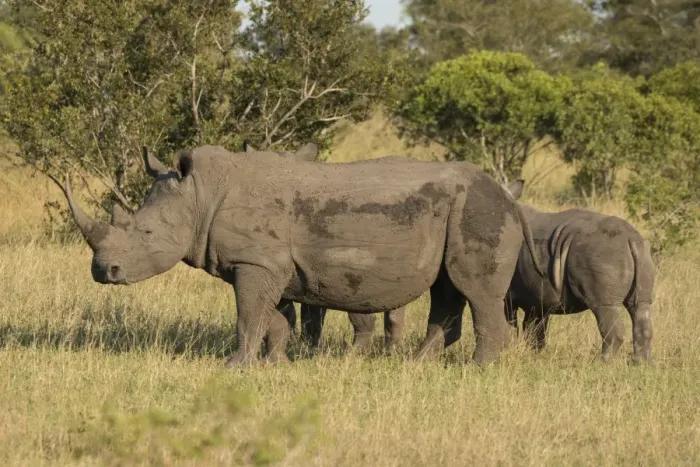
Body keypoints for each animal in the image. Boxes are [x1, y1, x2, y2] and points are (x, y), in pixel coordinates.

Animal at [57, 144, 544, 367]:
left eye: (146, 232)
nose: (103, 271)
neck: (200, 196)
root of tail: (509, 197)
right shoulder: (269, 266)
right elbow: (273, 318)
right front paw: (275, 363)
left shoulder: (255, 262)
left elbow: (248, 316)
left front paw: (235, 366)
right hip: (462, 212)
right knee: (447, 289)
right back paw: (418, 364)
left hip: (479, 210)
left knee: (475, 291)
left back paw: (478, 368)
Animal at [503, 180, 656, 364]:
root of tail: (630, 238)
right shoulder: (537, 295)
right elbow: (534, 329)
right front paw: (535, 355)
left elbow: (510, 324)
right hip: (642, 254)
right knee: (641, 307)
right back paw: (643, 364)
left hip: (602, 252)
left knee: (604, 307)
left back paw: (602, 364)